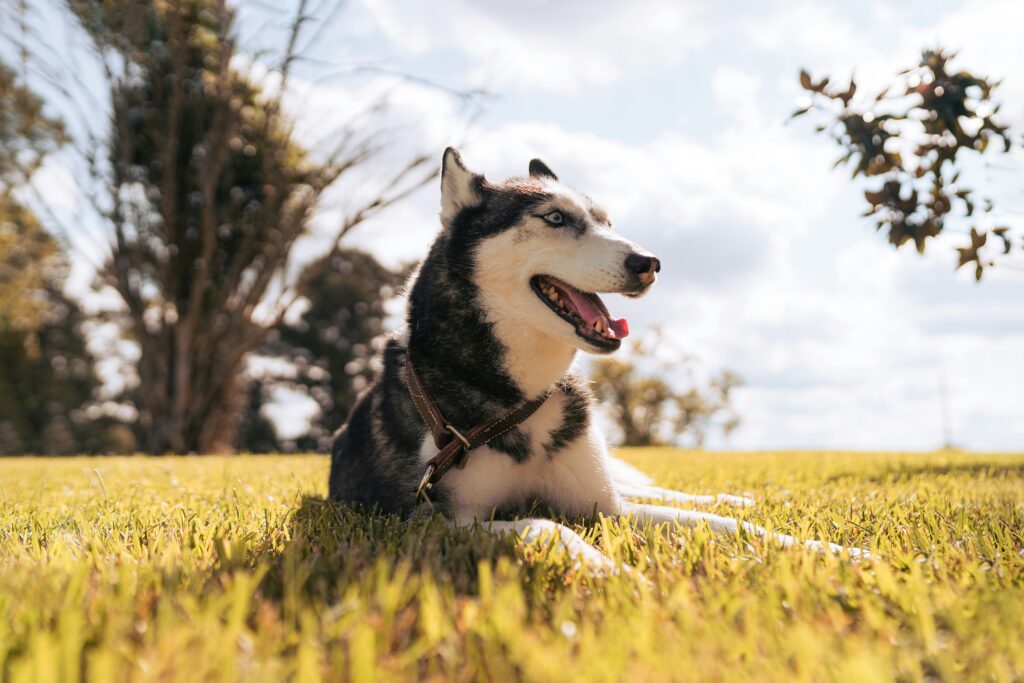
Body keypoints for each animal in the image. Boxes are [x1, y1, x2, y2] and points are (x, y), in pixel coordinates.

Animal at [329, 148, 856, 565]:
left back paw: (736, 497)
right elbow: (546, 525)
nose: (649, 263)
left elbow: (726, 526)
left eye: (607, 222)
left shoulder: (608, 508)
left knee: (656, 488)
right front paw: (614, 571)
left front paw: (835, 551)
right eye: (555, 219)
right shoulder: (437, 521)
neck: (524, 393)